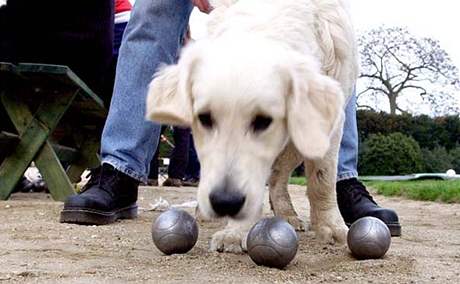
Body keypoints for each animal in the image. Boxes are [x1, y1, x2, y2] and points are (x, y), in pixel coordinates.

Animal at [147, 0, 360, 253]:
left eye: (263, 120)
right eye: (205, 118)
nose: (225, 202)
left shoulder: (327, 124)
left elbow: (322, 178)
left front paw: (331, 227)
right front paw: (235, 232)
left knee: (278, 177)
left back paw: (287, 214)